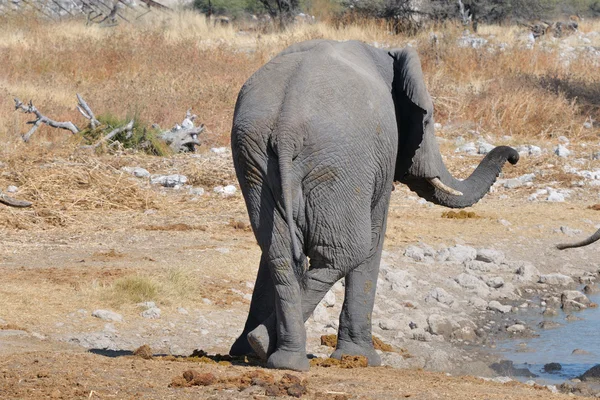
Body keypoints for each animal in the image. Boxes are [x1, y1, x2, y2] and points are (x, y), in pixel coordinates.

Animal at [230, 39, 520, 370]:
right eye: (428, 119)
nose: (514, 156)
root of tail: (287, 127)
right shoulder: (377, 162)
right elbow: (373, 238)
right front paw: (361, 358)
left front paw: (247, 349)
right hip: (342, 164)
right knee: (344, 253)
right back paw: (271, 347)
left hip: (255, 159)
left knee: (279, 253)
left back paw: (273, 354)